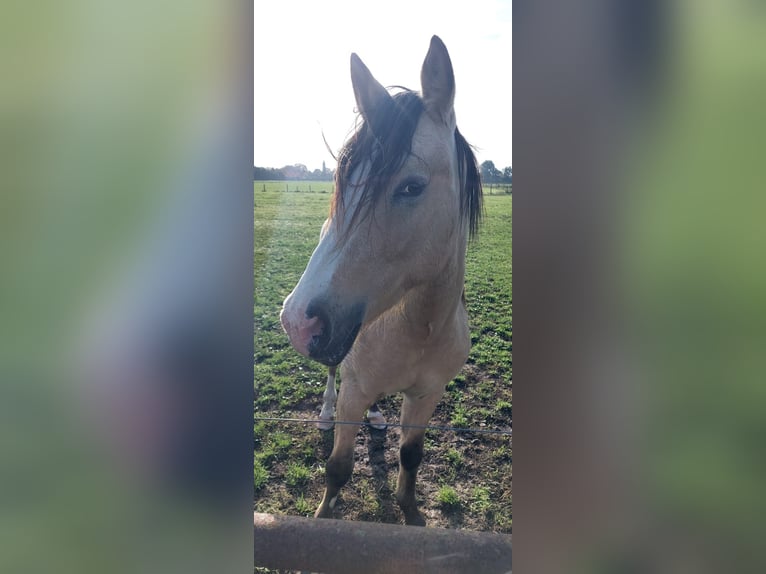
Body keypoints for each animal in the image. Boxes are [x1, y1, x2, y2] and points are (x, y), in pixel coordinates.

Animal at [280, 36, 484, 528]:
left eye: (411, 187)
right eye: (342, 183)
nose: (298, 321)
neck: (420, 328)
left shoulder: (428, 395)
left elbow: (411, 456)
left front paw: (412, 512)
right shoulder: (353, 391)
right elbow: (338, 466)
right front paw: (324, 515)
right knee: (332, 374)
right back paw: (324, 412)